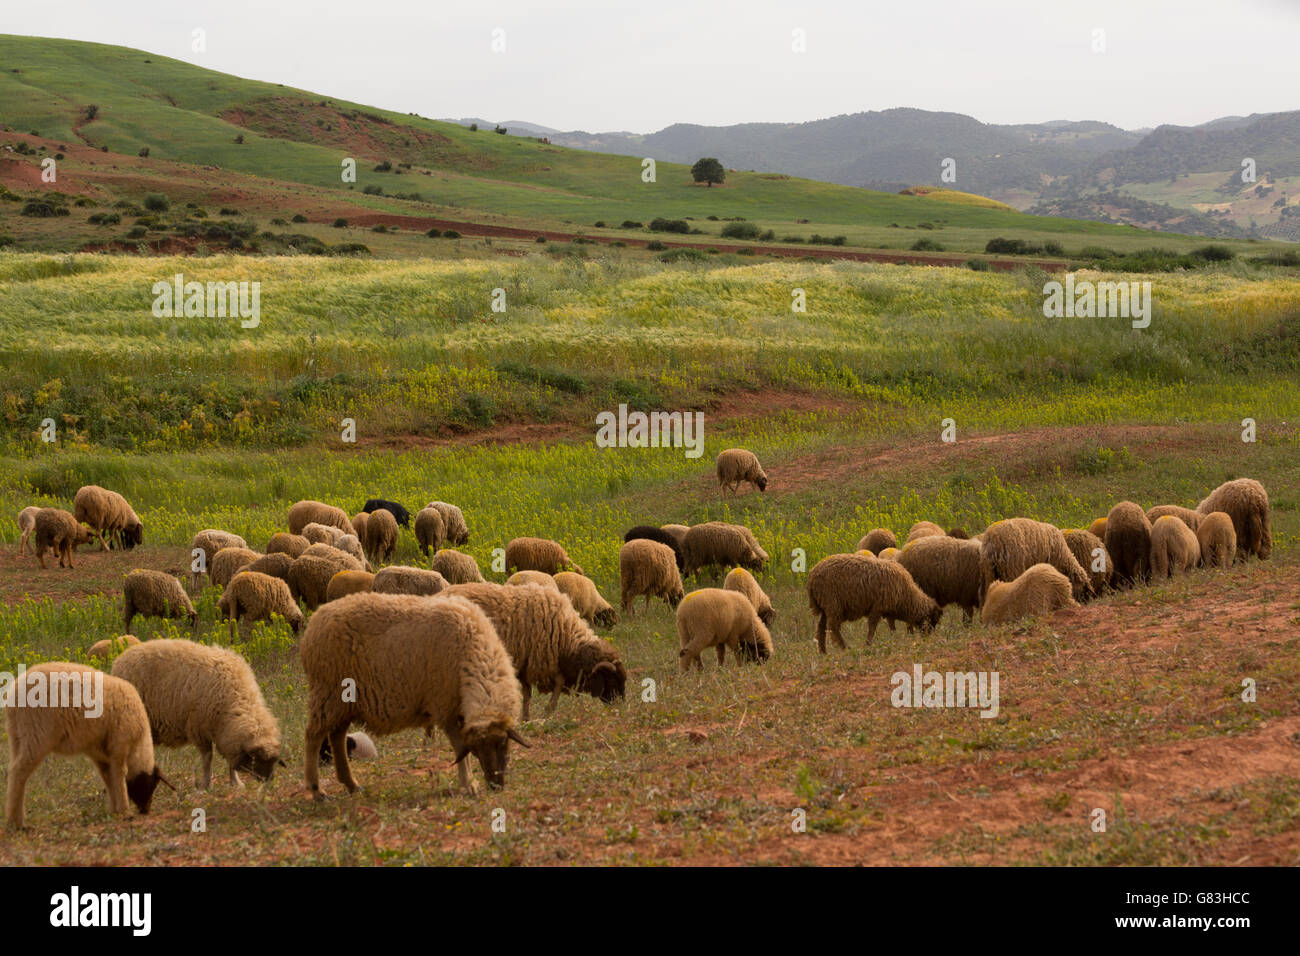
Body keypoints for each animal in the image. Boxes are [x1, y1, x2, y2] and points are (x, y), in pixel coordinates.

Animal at [3, 665, 172, 832]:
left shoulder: (100, 754)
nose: (145, 810)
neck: (138, 744)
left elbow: (108, 778)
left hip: (17, 737)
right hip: (37, 735)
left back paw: (15, 819)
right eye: (152, 784)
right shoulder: (119, 744)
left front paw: (115, 810)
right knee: (18, 772)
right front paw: (125, 811)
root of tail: (14, 693)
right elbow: (119, 775)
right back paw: (16, 823)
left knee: (13, 770)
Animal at [113, 639, 283, 790]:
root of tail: (121, 659)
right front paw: (206, 785)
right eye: (258, 759)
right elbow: (208, 758)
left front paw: (236, 783)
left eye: (273, 761)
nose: (268, 780)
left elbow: (230, 760)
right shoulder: (200, 728)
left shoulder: (226, 735)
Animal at [299, 595, 527, 796]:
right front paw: (469, 784)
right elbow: (460, 748)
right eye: (477, 749)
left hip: (344, 702)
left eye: (503, 743)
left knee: (337, 738)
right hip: (328, 692)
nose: (496, 785)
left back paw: (351, 784)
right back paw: (316, 789)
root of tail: (316, 619)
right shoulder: (445, 707)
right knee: (313, 737)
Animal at [436, 582, 629, 717]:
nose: (621, 706)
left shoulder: (525, 663)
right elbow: (557, 684)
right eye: (613, 679)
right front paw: (548, 711)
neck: (567, 639)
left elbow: (528, 694)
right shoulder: (542, 661)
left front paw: (526, 718)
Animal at [806, 554, 941, 650]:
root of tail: (812, 576)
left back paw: (823, 652)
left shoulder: (888, 610)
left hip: (825, 607)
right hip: (833, 604)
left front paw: (894, 639)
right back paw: (845, 647)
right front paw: (868, 644)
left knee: (821, 628)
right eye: (932, 620)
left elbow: (892, 627)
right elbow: (872, 627)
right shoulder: (877, 608)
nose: (927, 639)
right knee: (833, 627)